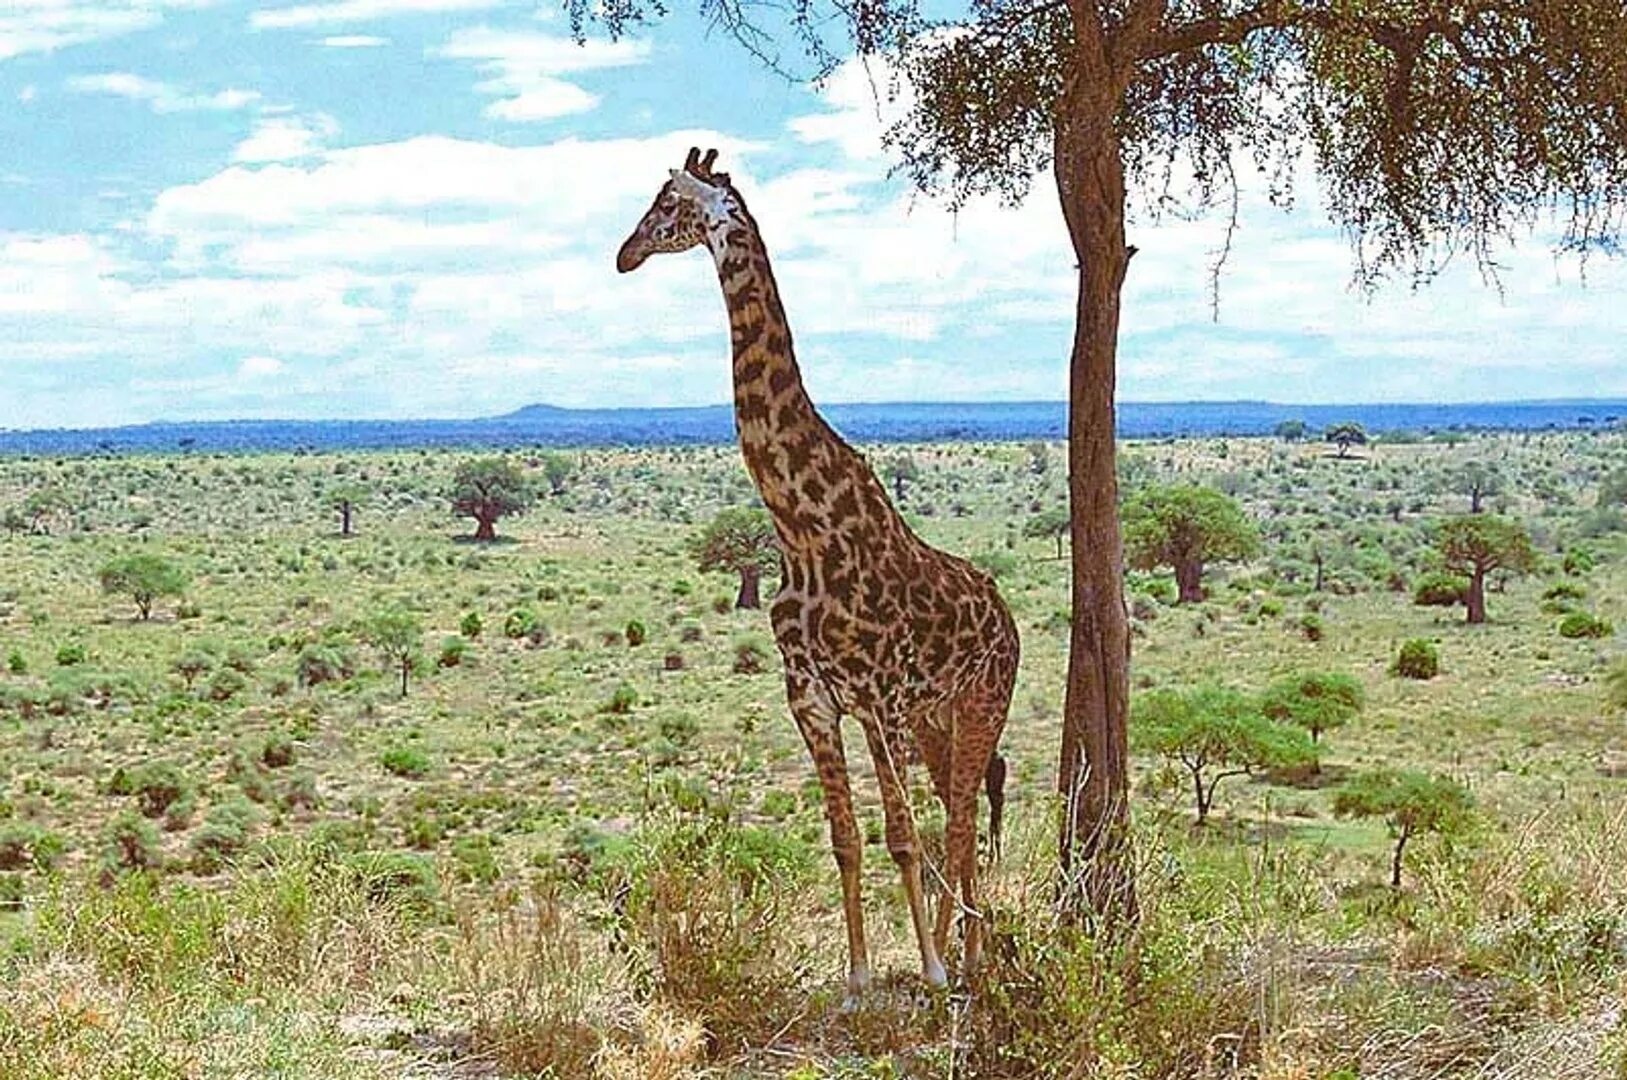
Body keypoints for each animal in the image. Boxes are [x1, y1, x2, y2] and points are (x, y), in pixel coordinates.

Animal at [618, 148, 1015, 1001]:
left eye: (667, 202)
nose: (624, 254)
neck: (802, 529)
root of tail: (1005, 614)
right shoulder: (811, 698)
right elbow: (846, 838)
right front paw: (859, 975)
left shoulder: (881, 699)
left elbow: (900, 836)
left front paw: (929, 971)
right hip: (934, 722)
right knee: (955, 815)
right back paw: (960, 945)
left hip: (977, 704)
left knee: (963, 819)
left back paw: (965, 959)